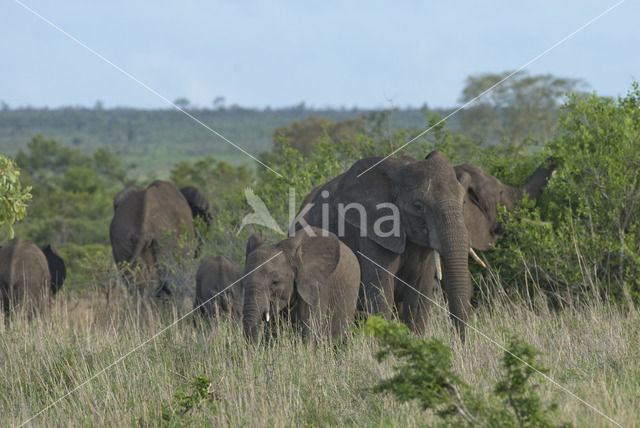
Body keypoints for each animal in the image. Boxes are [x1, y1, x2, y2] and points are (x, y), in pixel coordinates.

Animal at [300, 150, 556, 338]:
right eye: (418, 206)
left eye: (463, 204)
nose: (460, 344)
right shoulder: (370, 229)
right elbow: (381, 293)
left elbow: (419, 295)